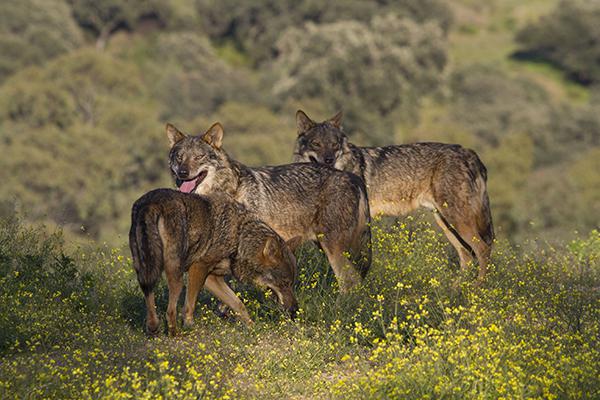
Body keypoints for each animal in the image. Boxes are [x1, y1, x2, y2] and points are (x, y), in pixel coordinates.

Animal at [129, 189, 302, 336]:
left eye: (292, 283)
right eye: (284, 283)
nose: (295, 309)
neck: (239, 239)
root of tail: (151, 202)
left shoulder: (212, 278)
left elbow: (238, 304)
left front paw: (253, 328)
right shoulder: (198, 268)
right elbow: (188, 307)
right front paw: (190, 326)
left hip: (145, 269)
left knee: (148, 294)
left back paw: (153, 328)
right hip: (176, 276)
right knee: (170, 310)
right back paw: (175, 335)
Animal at [165, 122, 370, 294]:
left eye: (198, 157)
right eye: (179, 158)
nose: (183, 172)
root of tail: (353, 177)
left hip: (332, 248)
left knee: (350, 282)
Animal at [292, 109, 494, 282]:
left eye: (334, 145)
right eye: (316, 144)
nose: (328, 160)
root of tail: (469, 152)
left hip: (456, 220)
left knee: (483, 249)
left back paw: (477, 288)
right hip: (446, 222)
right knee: (467, 256)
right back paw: (456, 290)